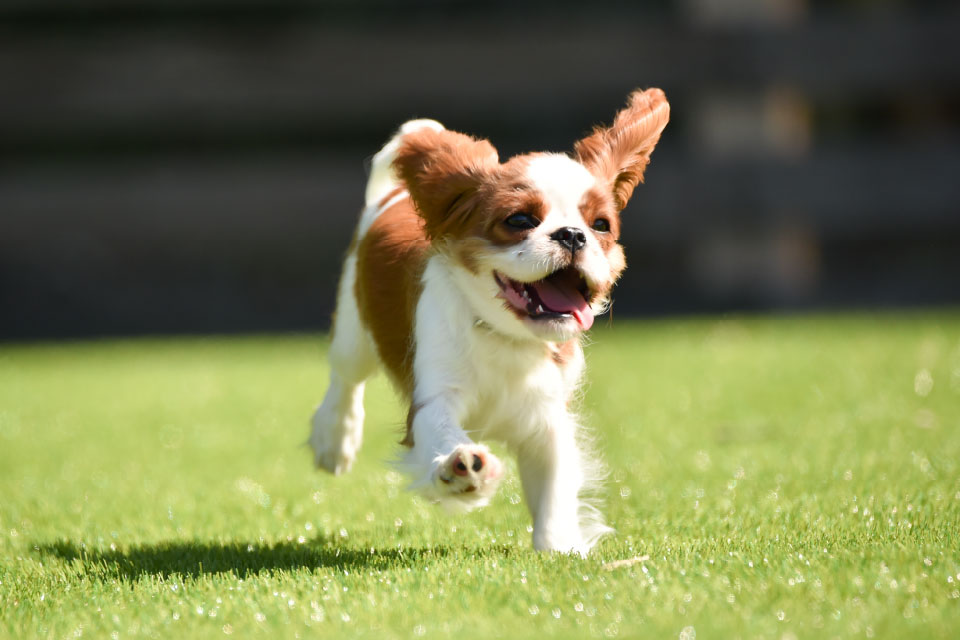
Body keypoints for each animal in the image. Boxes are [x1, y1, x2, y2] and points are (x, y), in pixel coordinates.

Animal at [308, 89, 668, 556]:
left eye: (600, 225)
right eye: (520, 220)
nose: (573, 235)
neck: (505, 336)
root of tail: (395, 198)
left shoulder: (549, 416)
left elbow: (555, 486)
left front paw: (558, 547)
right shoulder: (434, 397)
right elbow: (440, 430)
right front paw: (464, 468)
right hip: (354, 329)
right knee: (345, 379)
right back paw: (335, 440)